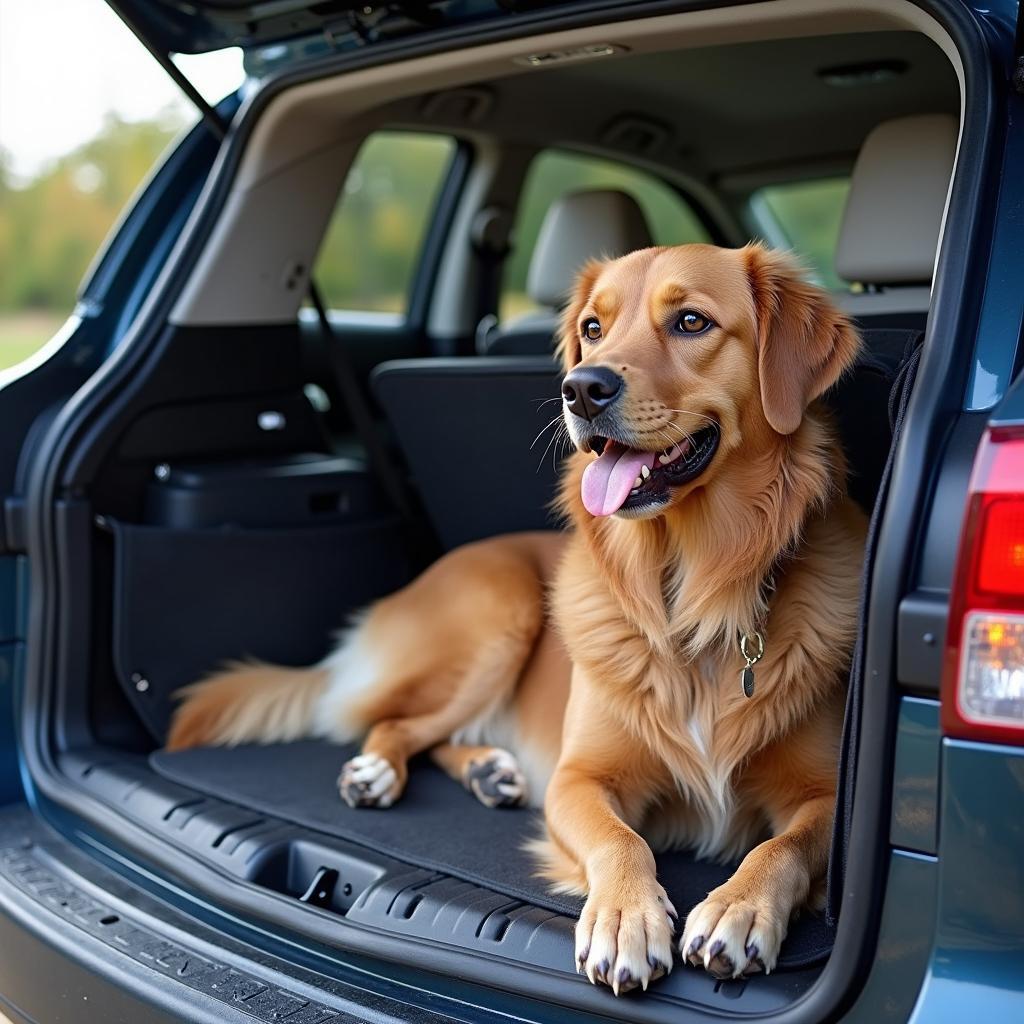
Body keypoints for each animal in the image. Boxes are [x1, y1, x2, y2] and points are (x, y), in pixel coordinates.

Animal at [167, 243, 864, 995]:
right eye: (593, 328)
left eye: (690, 321)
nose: (581, 389)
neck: (693, 595)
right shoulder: (578, 778)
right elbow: (622, 840)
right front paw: (625, 916)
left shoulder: (828, 800)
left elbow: (783, 845)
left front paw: (738, 905)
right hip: (500, 616)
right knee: (395, 722)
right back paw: (380, 772)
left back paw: (489, 772)